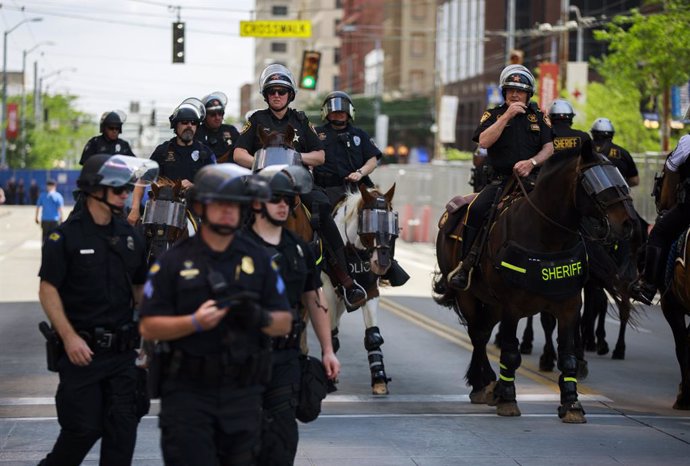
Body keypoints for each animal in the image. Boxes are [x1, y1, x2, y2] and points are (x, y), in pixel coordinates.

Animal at [322, 184, 398, 396]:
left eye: (391, 223)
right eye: (369, 224)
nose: (382, 264)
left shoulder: (370, 292)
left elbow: (373, 336)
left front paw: (379, 379)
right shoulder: (328, 292)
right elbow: (329, 332)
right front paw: (327, 380)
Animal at [430, 142, 636, 422]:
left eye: (618, 176)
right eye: (595, 182)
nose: (628, 222)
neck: (548, 236)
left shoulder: (569, 305)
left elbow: (568, 355)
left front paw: (571, 403)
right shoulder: (512, 306)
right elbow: (510, 352)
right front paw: (508, 399)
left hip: (492, 303)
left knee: (483, 331)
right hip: (468, 296)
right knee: (478, 335)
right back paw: (484, 384)